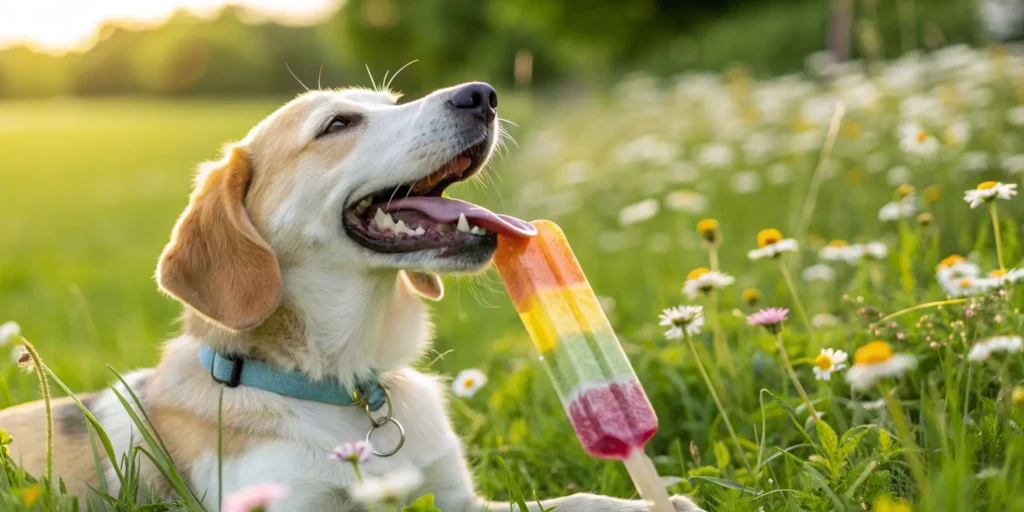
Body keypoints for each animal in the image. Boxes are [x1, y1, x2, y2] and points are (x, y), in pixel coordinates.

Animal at [0, 81, 704, 509]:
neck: (345, 389)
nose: (481, 94)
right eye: (338, 123)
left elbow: (576, 500)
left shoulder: (458, 498)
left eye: (391, 101)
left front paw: (661, 499)